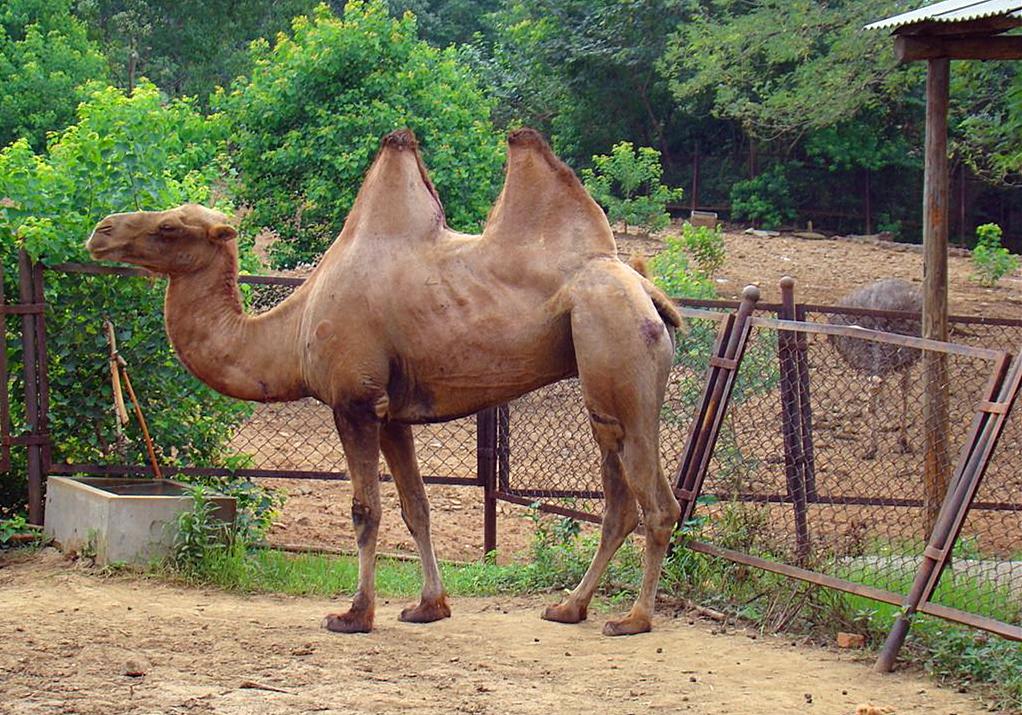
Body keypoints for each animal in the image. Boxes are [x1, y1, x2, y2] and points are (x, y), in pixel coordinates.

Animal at [83, 128, 682, 637]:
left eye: (169, 227)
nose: (101, 230)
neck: (291, 332)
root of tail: (646, 289)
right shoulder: (393, 414)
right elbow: (416, 507)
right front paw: (428, 606)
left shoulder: (354, 401)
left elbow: (365, 509)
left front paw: (355, 614)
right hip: (604, 383)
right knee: (620, 500)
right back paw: (569, 607)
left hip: (616, 343)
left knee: (656, 502)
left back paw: (633, 618)